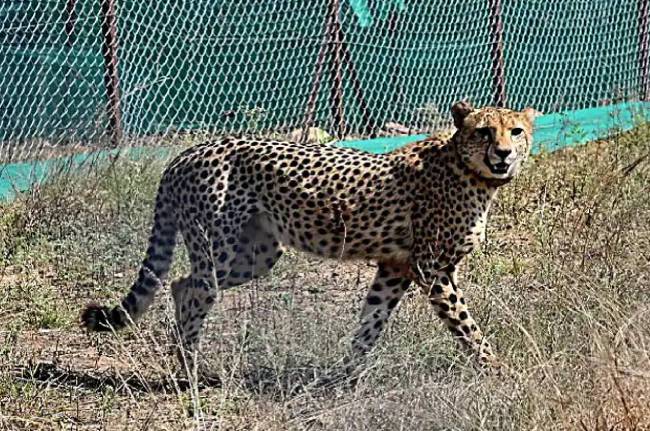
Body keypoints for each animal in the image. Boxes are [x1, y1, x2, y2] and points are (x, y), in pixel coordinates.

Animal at [81, 101, 539, 372]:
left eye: (515, 131)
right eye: (484, 131)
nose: (504, 153)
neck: (469, 170)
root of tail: (187, 152)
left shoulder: (395, 267)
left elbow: (370, 322)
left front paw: (344, 376)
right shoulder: (432, 269)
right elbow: (466, 325)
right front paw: (497, 369)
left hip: (257, 255)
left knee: (179, 284)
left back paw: (185, 360)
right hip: (220, 249)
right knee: (194, 289)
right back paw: (191, 371)